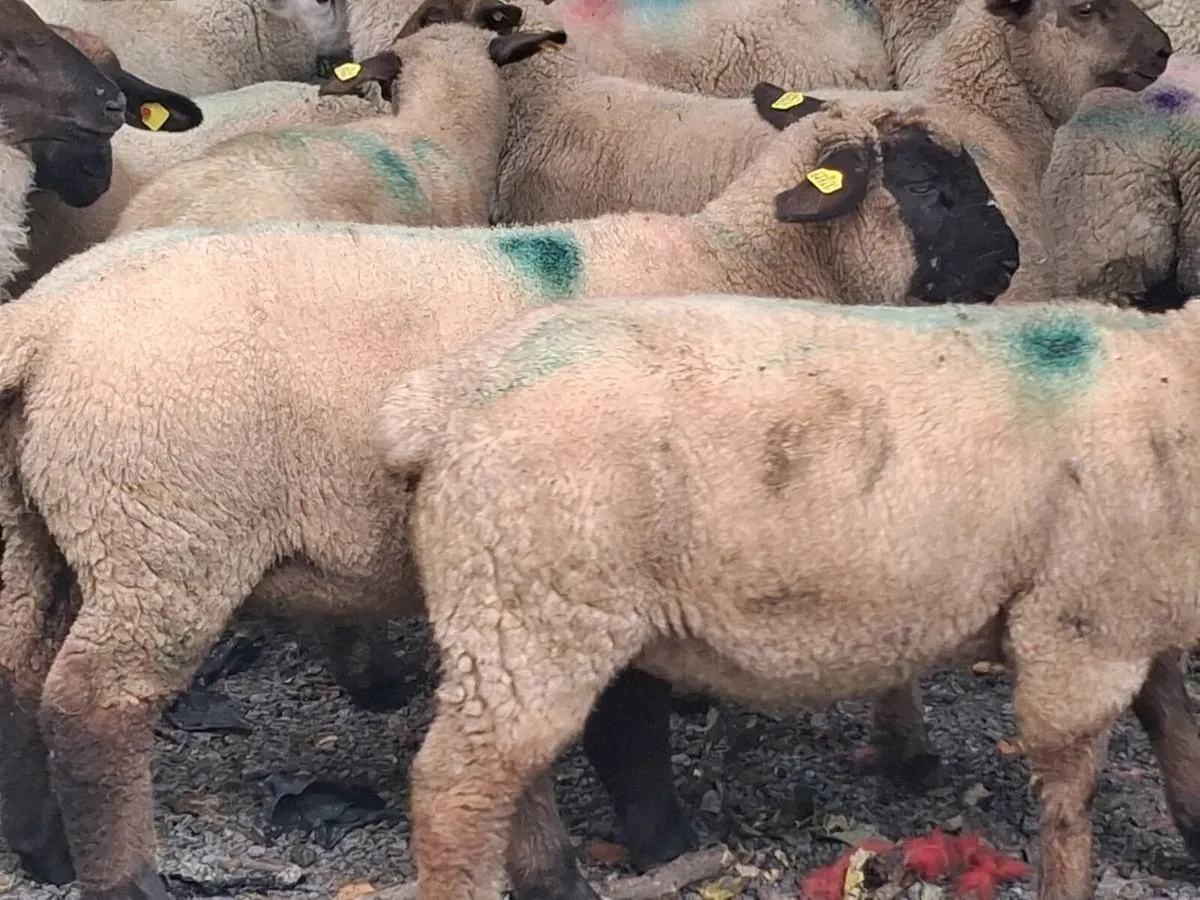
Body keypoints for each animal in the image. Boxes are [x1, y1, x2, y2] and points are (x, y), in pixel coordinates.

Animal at [0, 96, 1019, 899]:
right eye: (932, 190)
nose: (1009, 262)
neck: (747, 268)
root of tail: (47, 320)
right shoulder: (606, 552)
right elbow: (630, 723)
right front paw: (668, 841)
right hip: (163, 535)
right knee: (93, 709)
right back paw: (122, 878)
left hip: (37, 534)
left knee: (19, 678)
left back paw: (44, 852)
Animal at [376, 291, 1200, 900]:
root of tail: (443, 397)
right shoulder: (1083, 622)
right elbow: (1071, 797)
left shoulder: (1137, 604)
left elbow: (1172, 714)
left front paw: (1193, 822)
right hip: (530, 599)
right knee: (454, 793)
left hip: (514, 610)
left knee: (511, 772)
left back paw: (553, 875)